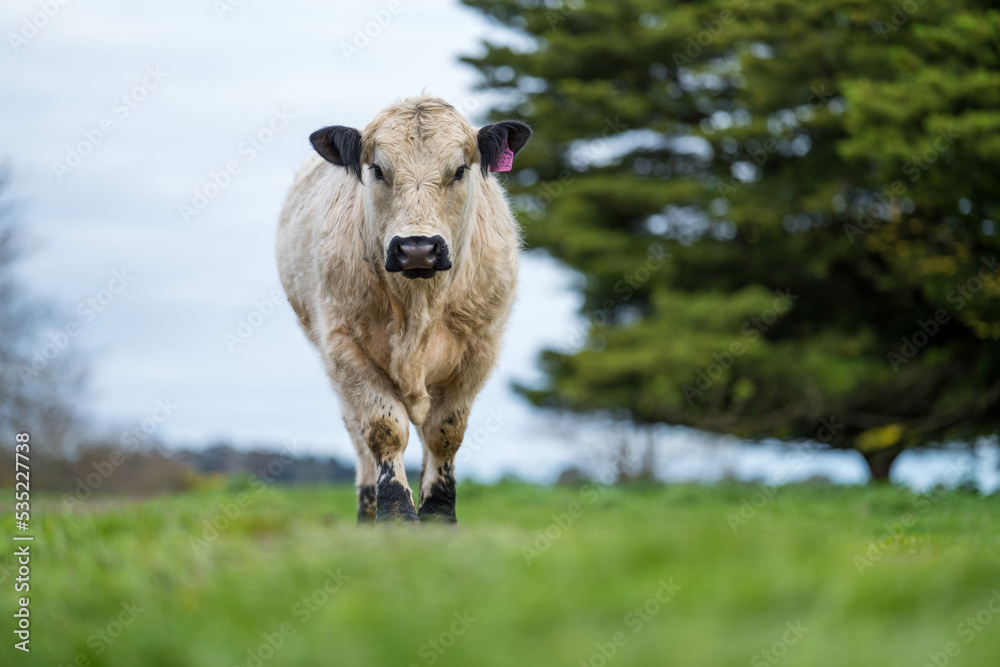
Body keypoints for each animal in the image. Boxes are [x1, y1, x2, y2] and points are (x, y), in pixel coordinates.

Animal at [276, 96, 531, 523]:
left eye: (459, 170)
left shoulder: (480, 350)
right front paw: (395, 514)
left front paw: (439, 514)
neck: (418, 305)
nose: (417, 248)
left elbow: (445, 433)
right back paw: (368, 511)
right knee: (359, 435)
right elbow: (384, 428)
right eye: (378, 169)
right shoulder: (345, 347)